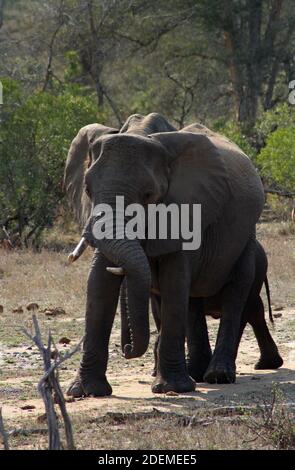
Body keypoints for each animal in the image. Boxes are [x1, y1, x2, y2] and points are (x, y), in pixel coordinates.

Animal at [64, 114, 280, 396]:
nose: (127, 348)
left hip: (247, 239)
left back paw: (218, 376)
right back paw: (197, 372)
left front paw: (172, 389)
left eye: (148, 195)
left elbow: (175, 280)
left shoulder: (188, 208)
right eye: (88, 190)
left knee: (237, 297)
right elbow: (99, 283)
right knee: (195, 302)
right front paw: (84, 391)